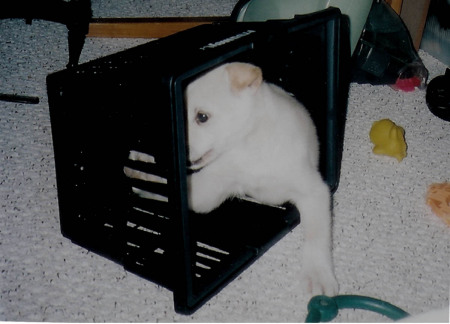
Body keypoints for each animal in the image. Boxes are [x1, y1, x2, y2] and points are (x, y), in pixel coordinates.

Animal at [185, 62, 338, 296]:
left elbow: (316, 235)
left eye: (202, 117)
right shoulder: (211, 188)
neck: (251, 147)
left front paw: (317, 273)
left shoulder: (313, 191)